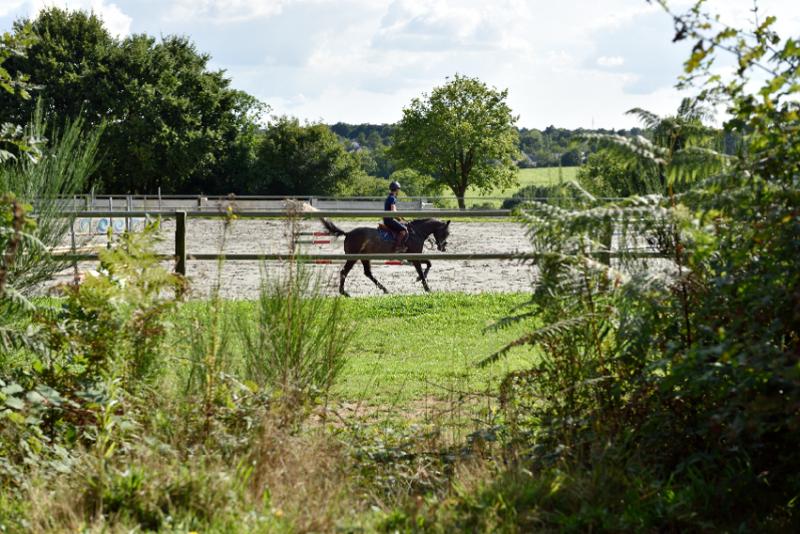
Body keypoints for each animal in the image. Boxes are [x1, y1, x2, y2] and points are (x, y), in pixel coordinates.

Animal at [319, 218, 450, 296]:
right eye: (446, 233)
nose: (442, 247)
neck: (416, 232)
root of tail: (348, 233)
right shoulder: (414, 257)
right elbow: (424, 269)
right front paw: (427, 288)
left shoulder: (412, 257)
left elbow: (428, 264)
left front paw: (420, 279)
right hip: (353, 258)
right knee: (344, 272)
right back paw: (343, 292)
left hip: (364, 257)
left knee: (368, 273)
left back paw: (384, 289)